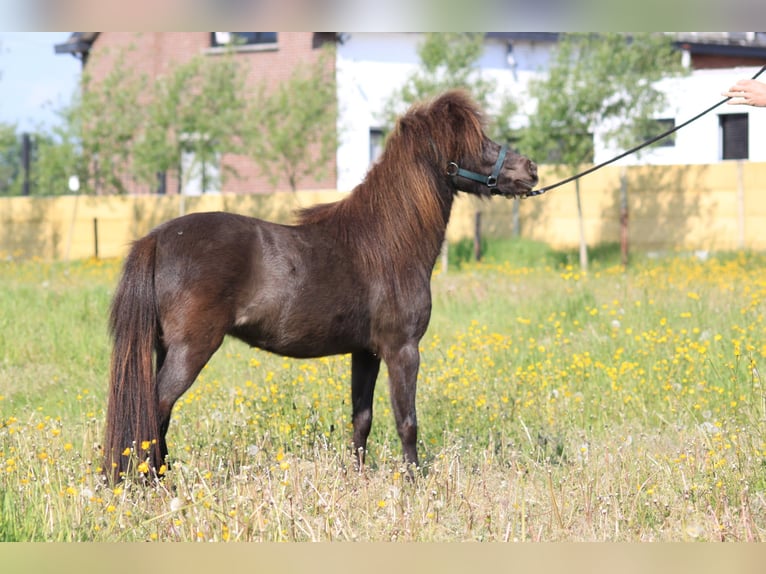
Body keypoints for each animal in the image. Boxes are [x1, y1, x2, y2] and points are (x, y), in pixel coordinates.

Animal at [103, 89, 538, 482]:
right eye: (478, 141)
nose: (530, 169)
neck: (386, 242)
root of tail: (157, 237)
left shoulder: (366, 353)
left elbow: (362, 420)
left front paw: (357, 479)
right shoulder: (403, 350)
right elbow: (407, 422)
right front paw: (416, 482)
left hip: (166, 349)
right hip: (190, 350)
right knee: (156, 410)